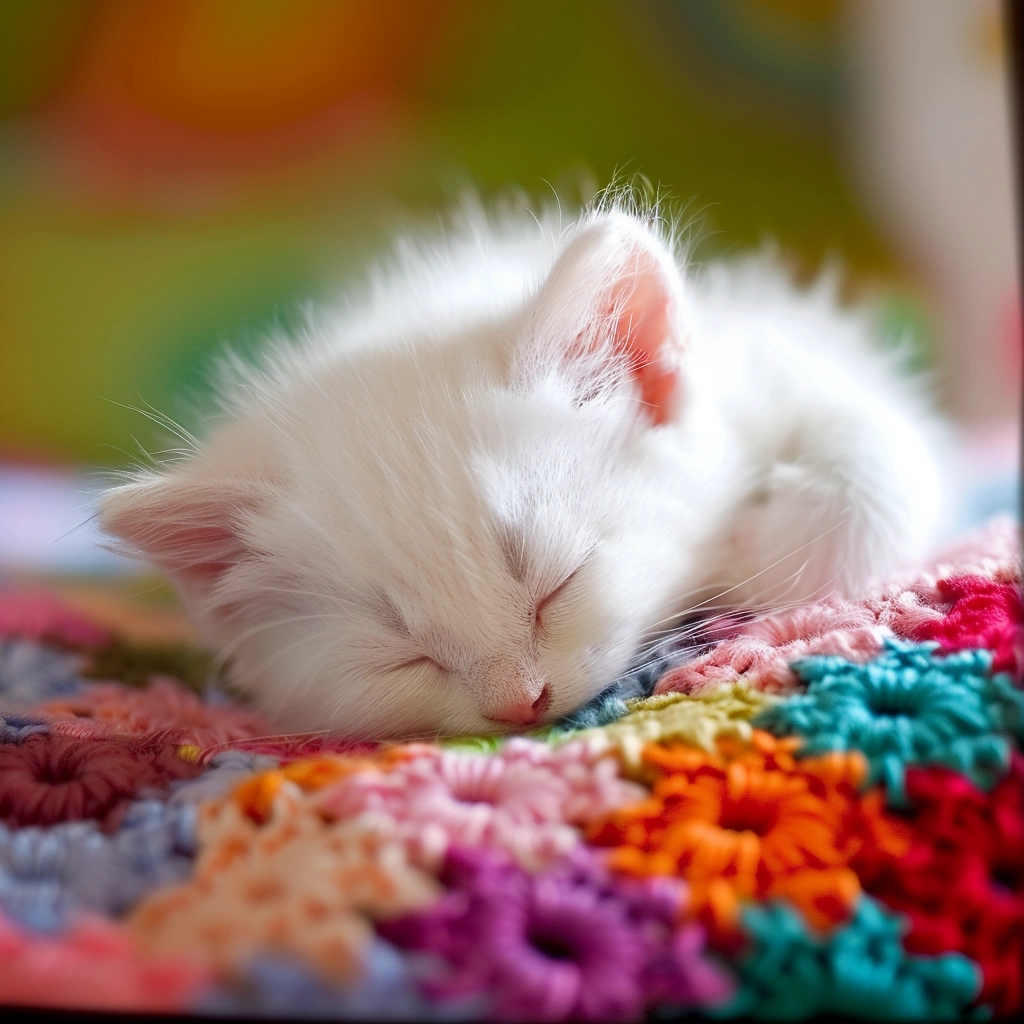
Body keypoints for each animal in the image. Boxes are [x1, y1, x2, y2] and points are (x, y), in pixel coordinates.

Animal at [101, 197, 942, 737]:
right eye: (405, 655)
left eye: (556, 586)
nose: (520, 703)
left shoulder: (776, 354)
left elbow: (874, 444)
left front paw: (756, 551)